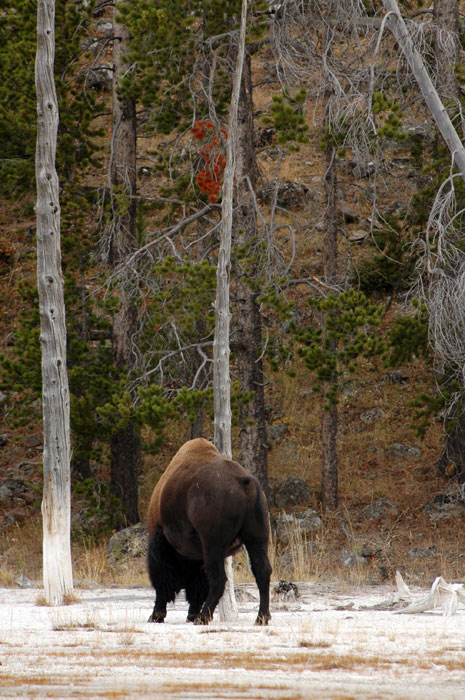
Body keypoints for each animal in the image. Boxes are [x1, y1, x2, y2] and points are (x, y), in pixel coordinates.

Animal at [148, 440, 272, 628]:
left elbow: (163, 582)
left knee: (219, 579)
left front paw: (157, 615)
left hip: (213, 544)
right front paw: (191, 614)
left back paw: (203, 617)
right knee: (262, 572)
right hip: (257, 539)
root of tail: (244, 482)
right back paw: (261, 618)